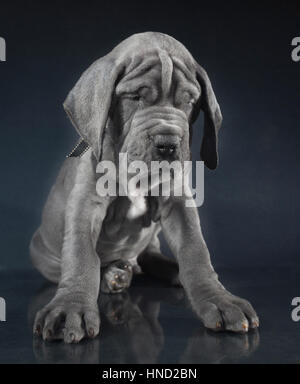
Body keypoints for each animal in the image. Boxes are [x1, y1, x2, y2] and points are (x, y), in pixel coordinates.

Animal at [31, 33, 260, 344]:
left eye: (189, 101)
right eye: (135, 97)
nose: (168, 145)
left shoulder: (178, 202)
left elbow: (196, 251)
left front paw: (219, 299)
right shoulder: (85, 205)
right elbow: (81, 255)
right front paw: (71, 307)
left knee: (150, 256)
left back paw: (167, 271)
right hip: (41, 251)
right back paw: (113, 275)